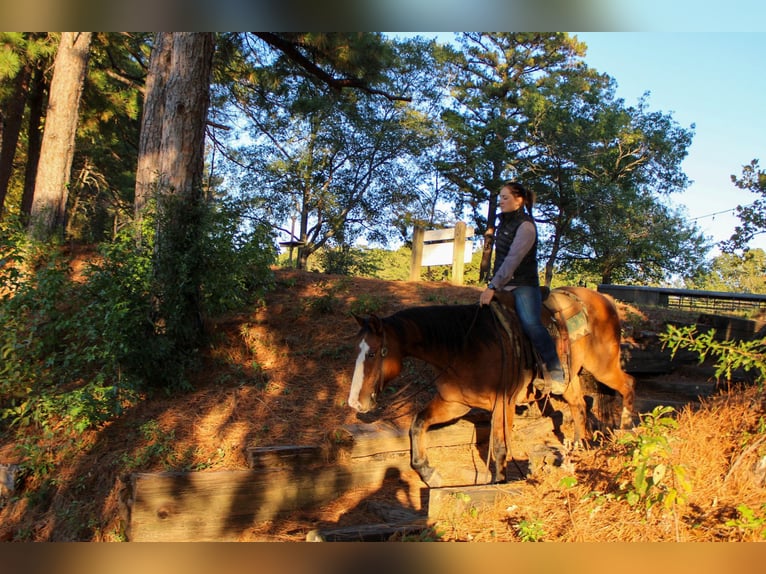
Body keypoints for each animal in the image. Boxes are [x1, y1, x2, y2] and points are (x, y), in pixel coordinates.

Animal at [348, 286, 636, 488]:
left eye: (372, 353)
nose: (355, 403)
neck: (463, 347)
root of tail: (605, 299)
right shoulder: (455, 404)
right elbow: (418, 423)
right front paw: (429, 473)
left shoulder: (503, 404)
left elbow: (499, 448)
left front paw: (499, 482)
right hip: (568, 378)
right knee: (579, 405)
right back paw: (578, 445)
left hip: (602, 365)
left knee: (628, 385)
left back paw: (628, 429)